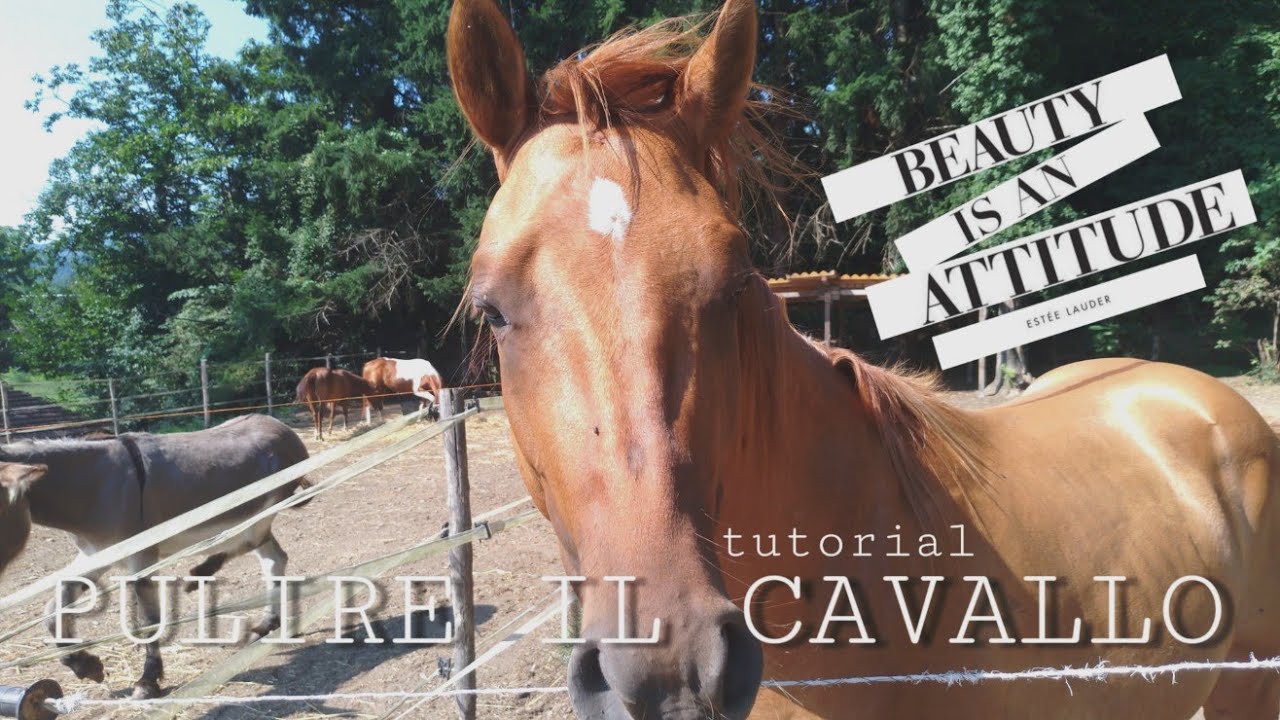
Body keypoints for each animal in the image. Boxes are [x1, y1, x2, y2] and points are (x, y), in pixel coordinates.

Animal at [0, 415, 311, 699]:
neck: (93, 488)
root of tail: (283, 429)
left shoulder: (141, 555)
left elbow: (149, 618)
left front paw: (147, 680)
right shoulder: (95, 554)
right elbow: (53, 607)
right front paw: (84, 664)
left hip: (261, 512)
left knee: (249, 541)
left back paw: (202, 572)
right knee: (273, 559)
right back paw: (267, 623)